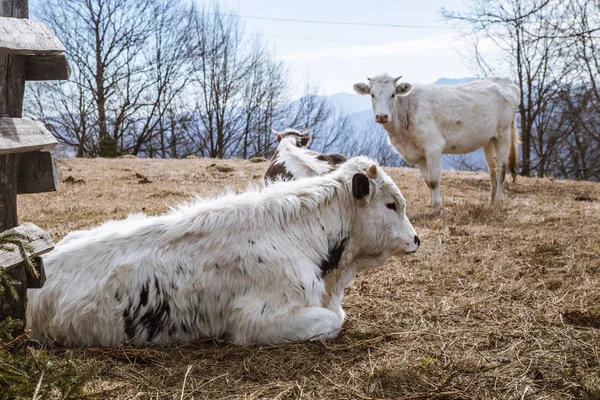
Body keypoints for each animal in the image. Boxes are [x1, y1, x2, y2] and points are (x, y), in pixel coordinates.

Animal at [354, 74, 516, 214]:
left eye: (393, 94)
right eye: (372, 94)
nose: (381, 116)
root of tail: (503, 80)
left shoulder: (433, 146)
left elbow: (433, 180)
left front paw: (437, 209)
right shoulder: (419, 154)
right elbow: (427, 181)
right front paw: (433, 206)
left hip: (503, 133)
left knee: (501, 168)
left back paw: (499, 202)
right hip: (489, 139)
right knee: (492, 168)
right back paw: (491, 201)